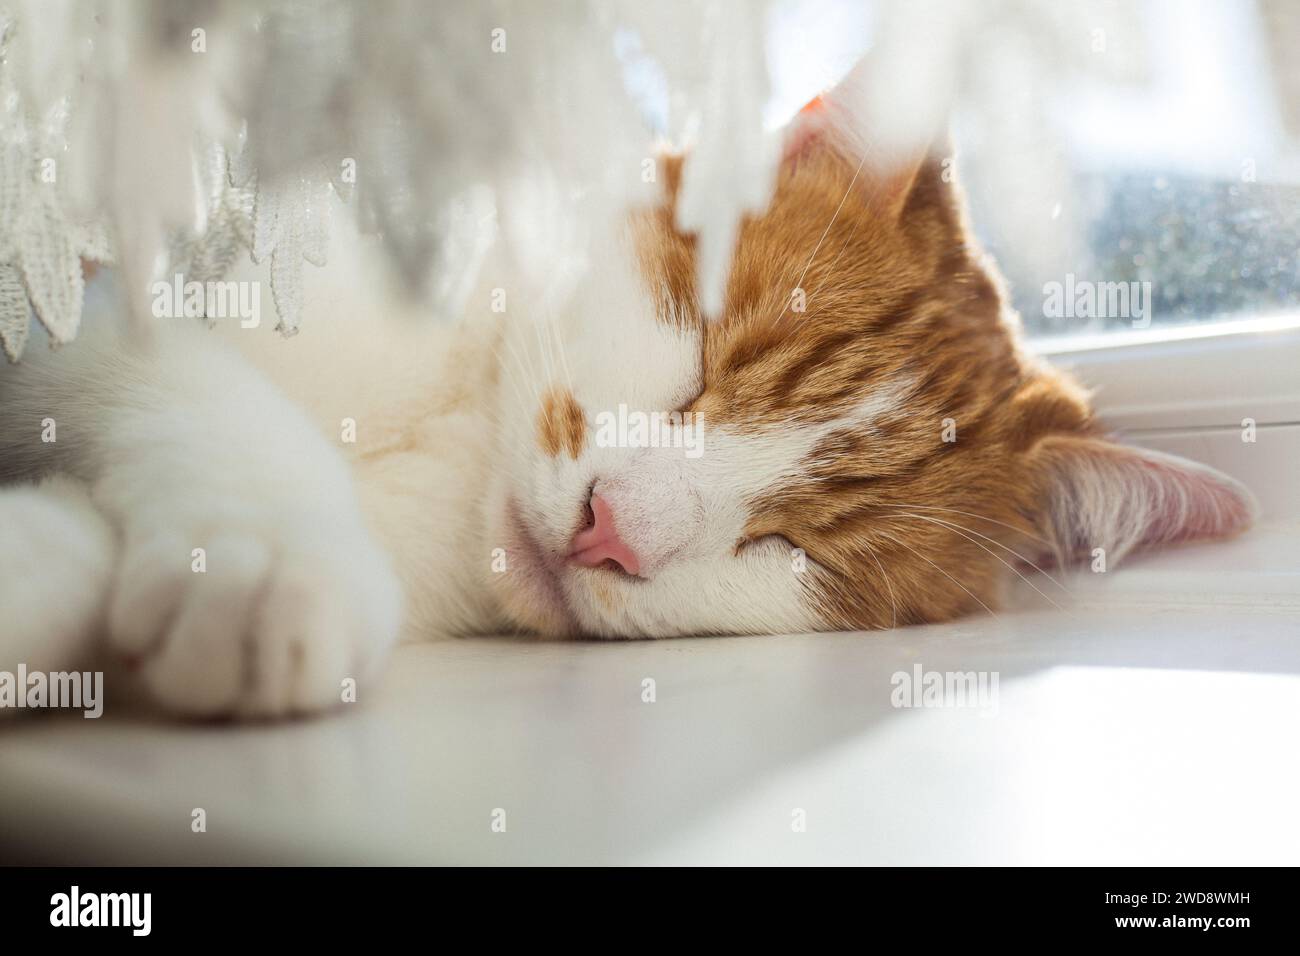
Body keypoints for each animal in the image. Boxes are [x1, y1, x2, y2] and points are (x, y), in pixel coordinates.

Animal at [2, 70, 1258, 723]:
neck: (460, 438)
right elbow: (180, 375)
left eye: (796, 545)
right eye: (700, 361)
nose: (609, 528)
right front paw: (269, 561)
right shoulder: (96, 294)